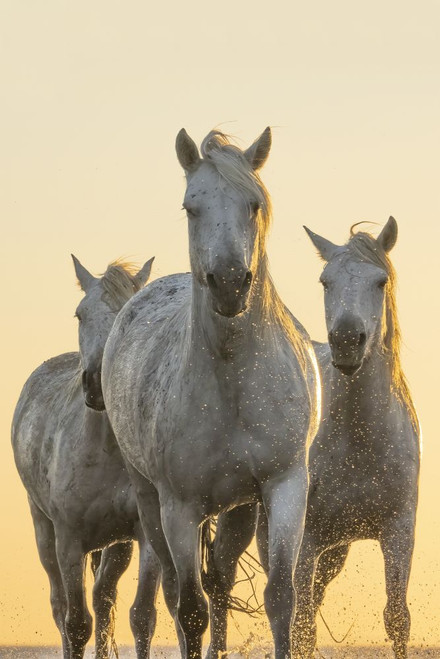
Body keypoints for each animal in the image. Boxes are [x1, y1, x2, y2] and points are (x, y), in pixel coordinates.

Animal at [12, 256, 161, 659]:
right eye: (80, 314)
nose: (95, 383)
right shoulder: (69, 541)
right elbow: (76, 623)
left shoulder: (145, 535)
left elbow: (142, 616)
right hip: (43, 530)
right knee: (60, 605)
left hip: (117, 545)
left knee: (103, 596)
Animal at [101, 128, 320, 659]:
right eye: (190, 207)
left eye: (254, 204)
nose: (229, 284)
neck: (233, 381)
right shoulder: (180, 507)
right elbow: (190, 609)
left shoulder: (284, 485)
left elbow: (280, 597)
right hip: (152, 505)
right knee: (176, 594)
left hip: (239, 509)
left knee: (219, 583)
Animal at [290, 217, 420, 658]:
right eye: (325, 281)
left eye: (380, 281)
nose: (347, 341)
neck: (360, 442)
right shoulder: (307, 538)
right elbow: (301, 627)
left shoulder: (398, 532)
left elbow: (397, 618)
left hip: (334, 553)